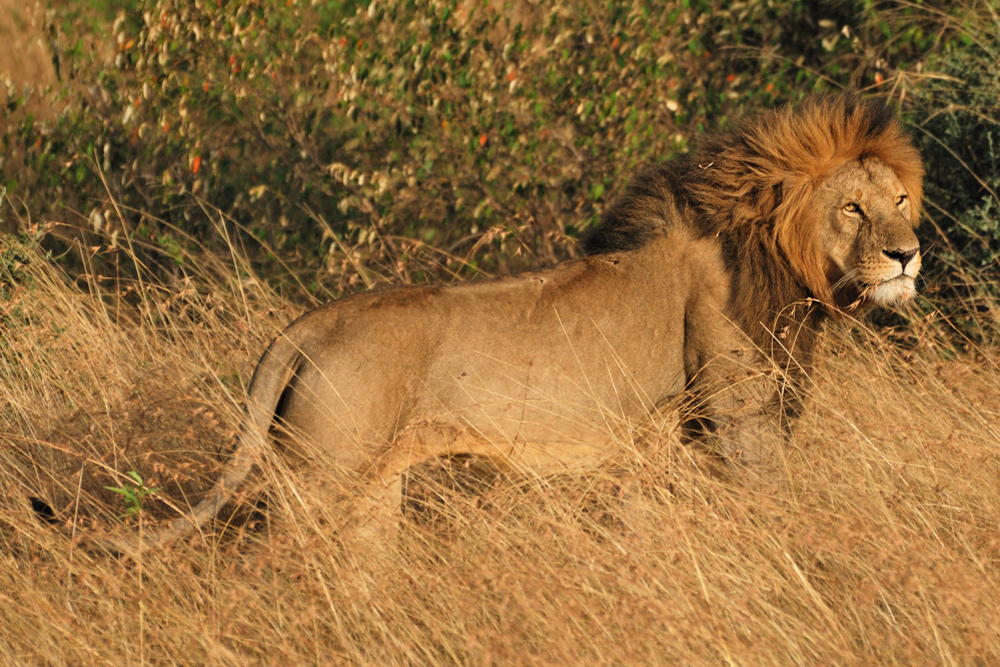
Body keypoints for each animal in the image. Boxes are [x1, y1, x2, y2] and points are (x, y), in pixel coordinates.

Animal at [76, 95, 924, 555]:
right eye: (853, 208)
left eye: (901, 202)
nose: (908, 254)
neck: (782, 263)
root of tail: (306, 328)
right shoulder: (740, 424)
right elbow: (772, 502)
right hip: (318, 479)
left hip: (372, 493)